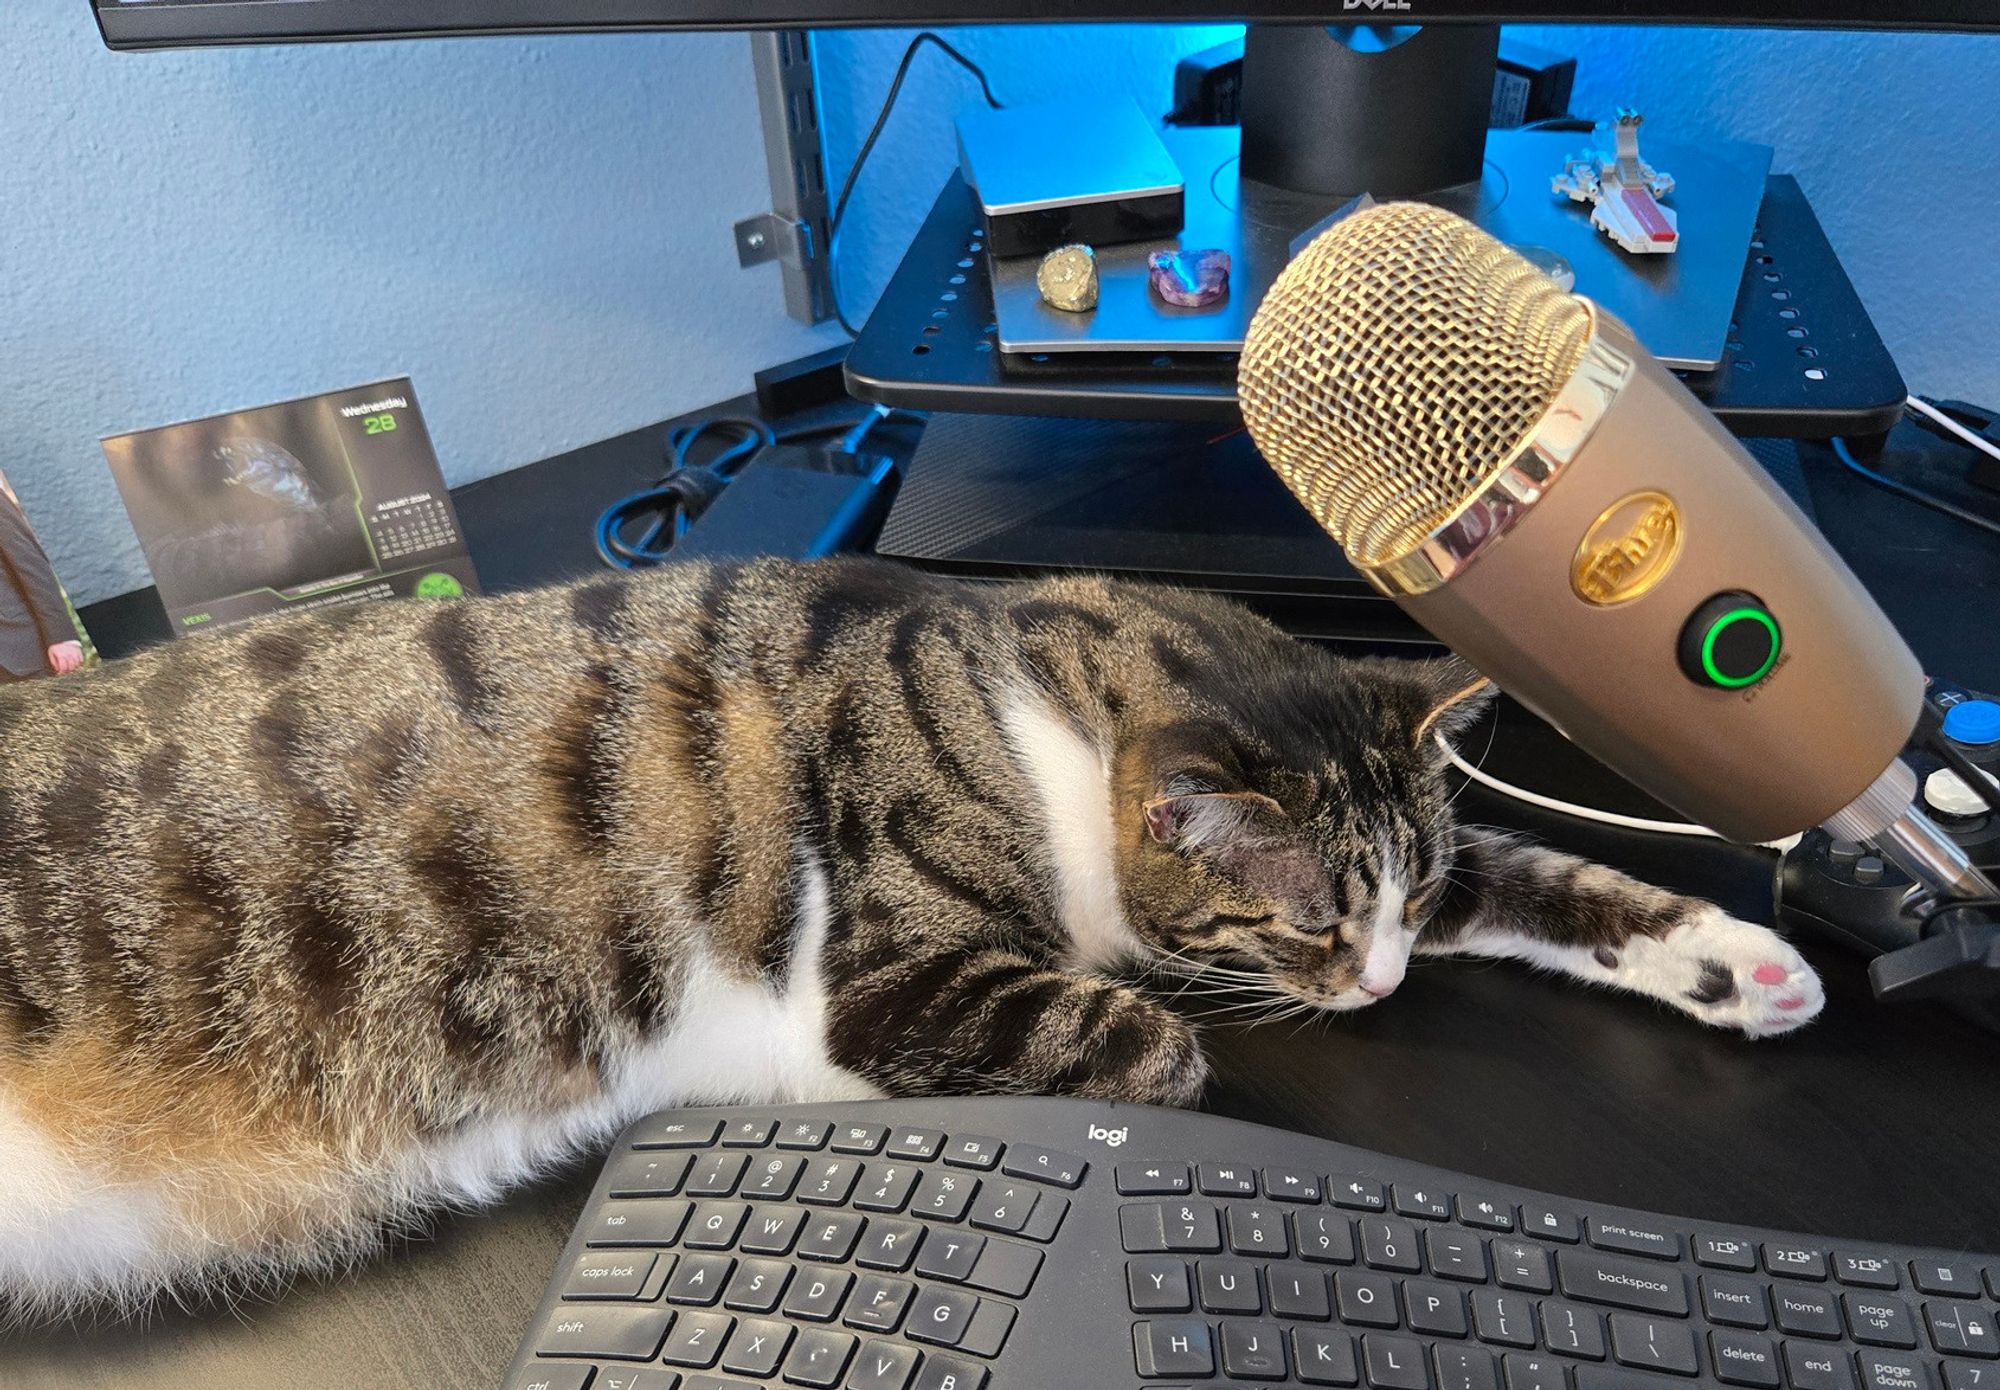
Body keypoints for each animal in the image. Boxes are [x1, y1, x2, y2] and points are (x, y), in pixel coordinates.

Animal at [0, 556, 1824, 1312]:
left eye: (1397, 900)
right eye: (1316, 927)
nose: (1372, 982)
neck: (1034, 702)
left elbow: (1529, 875)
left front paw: (1735, 958)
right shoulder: (880, 987)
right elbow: (1157, 1048)